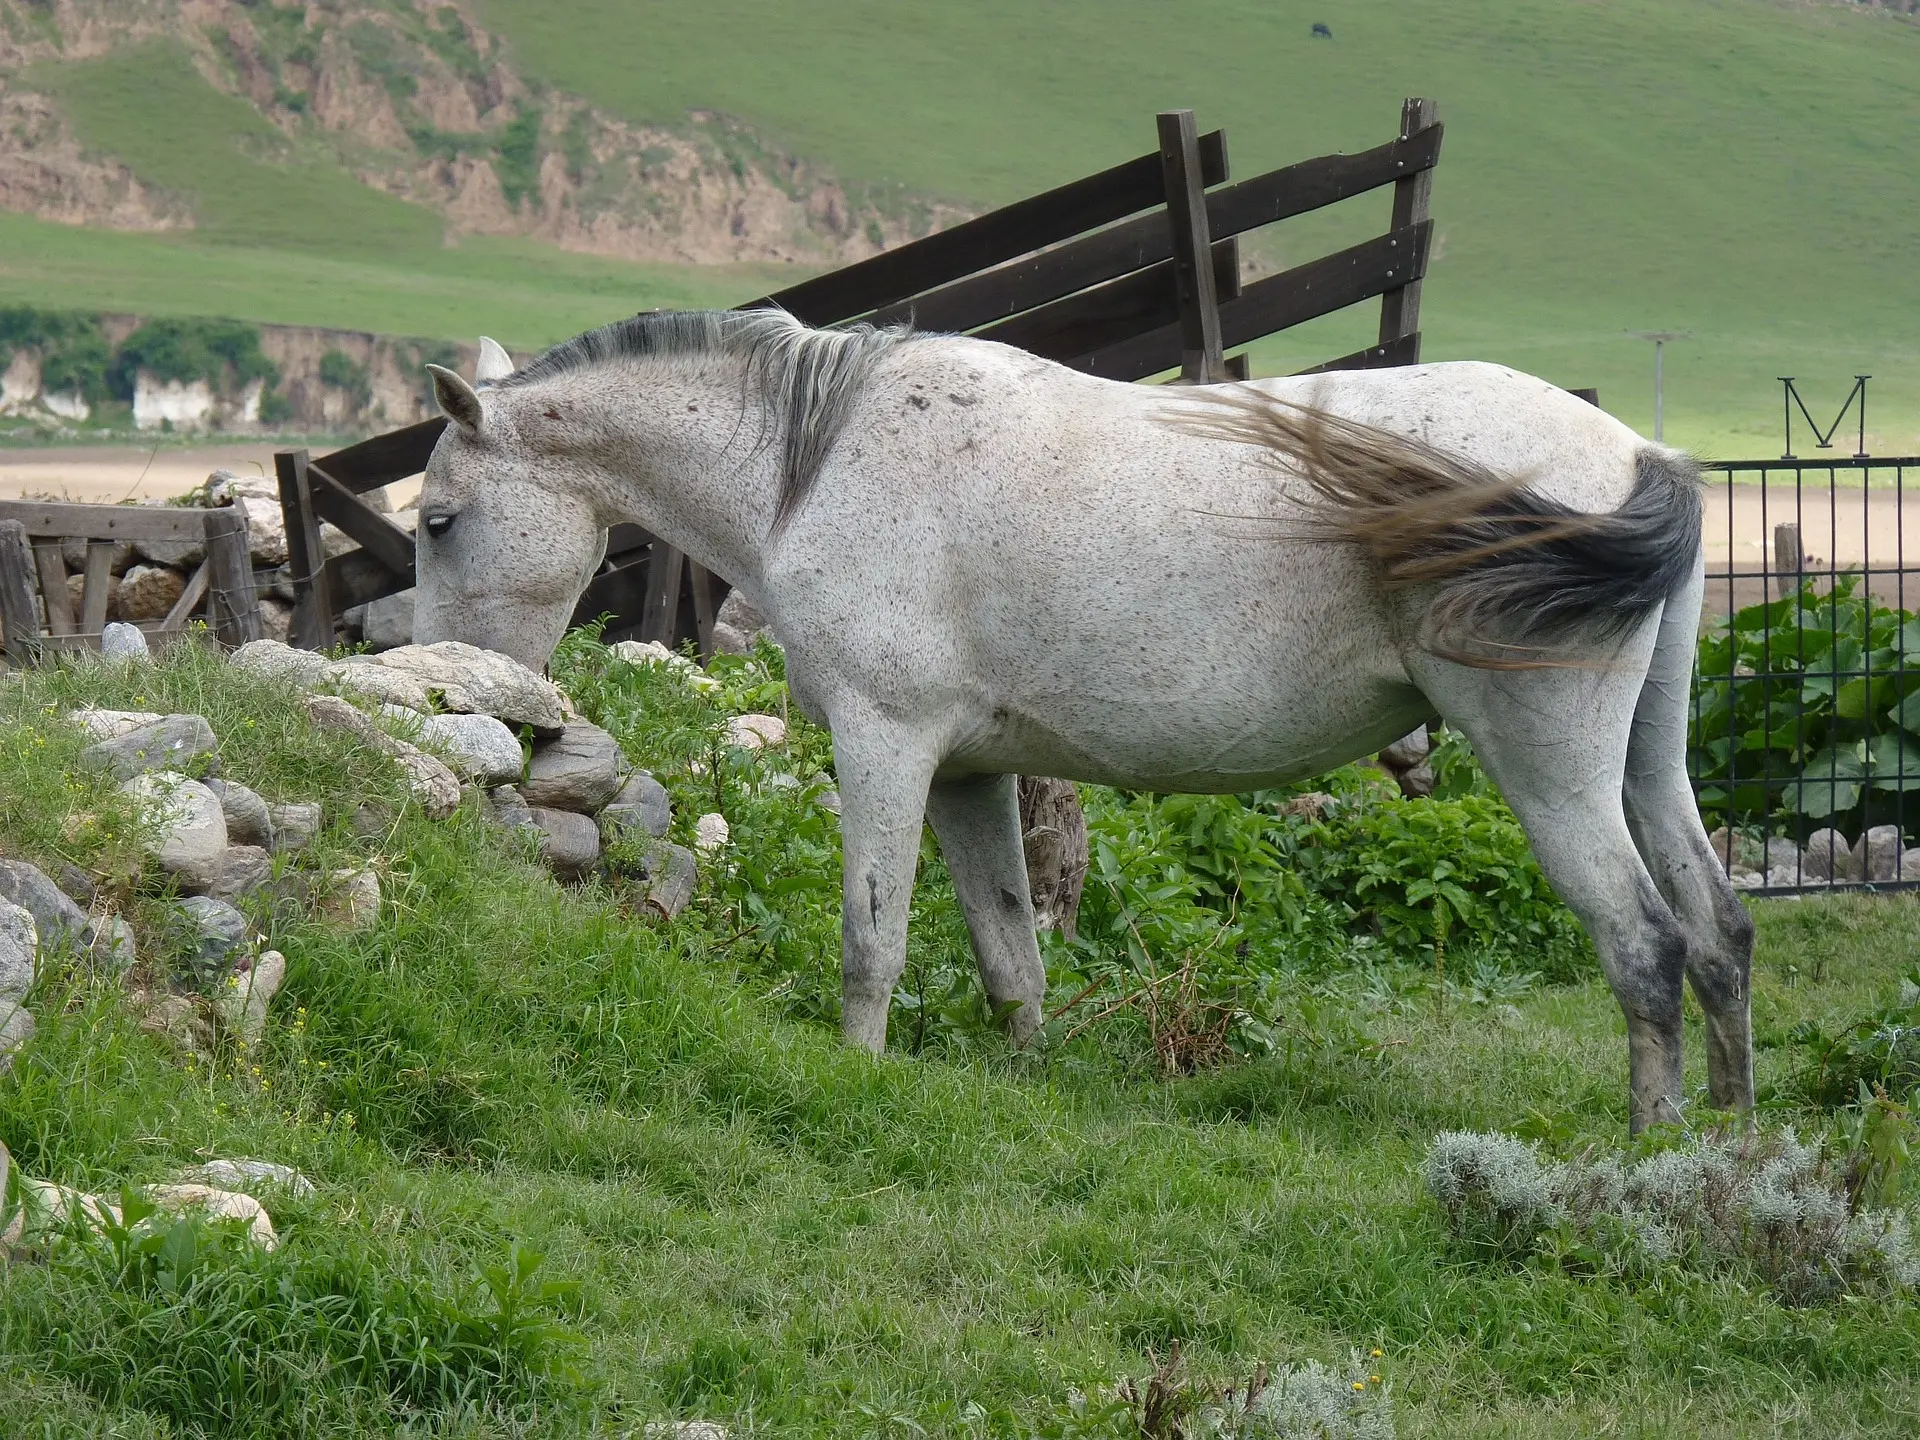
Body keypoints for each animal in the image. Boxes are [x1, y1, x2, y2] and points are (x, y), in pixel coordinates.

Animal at [416, 311, 1758, 1136]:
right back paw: (1728, 1140)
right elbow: (1011, 956)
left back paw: (1646, 1156)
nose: (455, 684)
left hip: (1552, 772)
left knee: (1647, 947)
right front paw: (1027, 1088)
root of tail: (1635, 453)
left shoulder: (885, 747)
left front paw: (855, 1080)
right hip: (1647, 764)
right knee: (1720, 932)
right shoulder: (969, 776)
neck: (820, 461)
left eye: (435, 520)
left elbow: (871, 941)